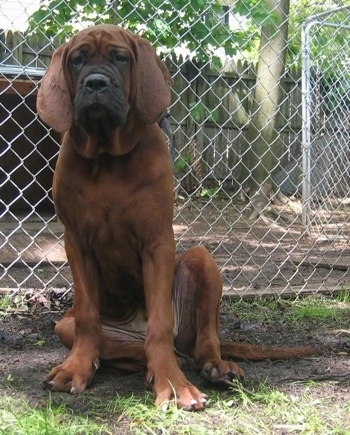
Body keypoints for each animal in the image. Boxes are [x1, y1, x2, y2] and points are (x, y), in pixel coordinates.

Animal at [37, 24, 318, 412]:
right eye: (77, 60)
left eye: (120, 58)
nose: (95, 83)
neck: (107, 157)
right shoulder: (76, 243)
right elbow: (87, 317)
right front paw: (76, 368)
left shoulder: (157, 242)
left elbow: (159, 324)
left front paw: (172, 383)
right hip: (63, 326)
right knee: (126, 345)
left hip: (201, 260)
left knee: (199, 340)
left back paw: (213, 366)